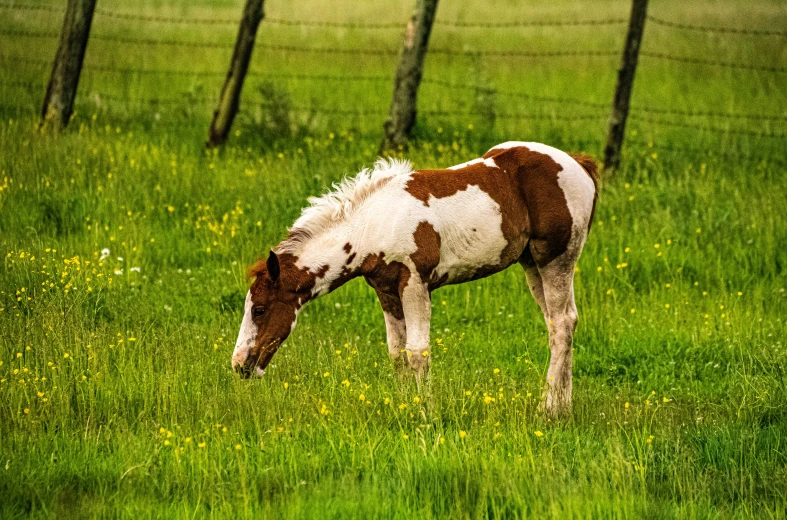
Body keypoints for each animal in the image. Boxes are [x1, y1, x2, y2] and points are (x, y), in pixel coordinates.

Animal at [231, 141, 600, 414]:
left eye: (259, 309)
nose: (239, 365)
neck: (371, 226)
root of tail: (578, 163)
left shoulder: (414, 282)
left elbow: (417, 351)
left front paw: (425, 411)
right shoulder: (385, 290)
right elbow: (397, 353)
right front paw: (405, 406)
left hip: (556, 258)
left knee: (562, 324)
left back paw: (548, 409)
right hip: (531, 264)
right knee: (561, 322)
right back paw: (563, 407)